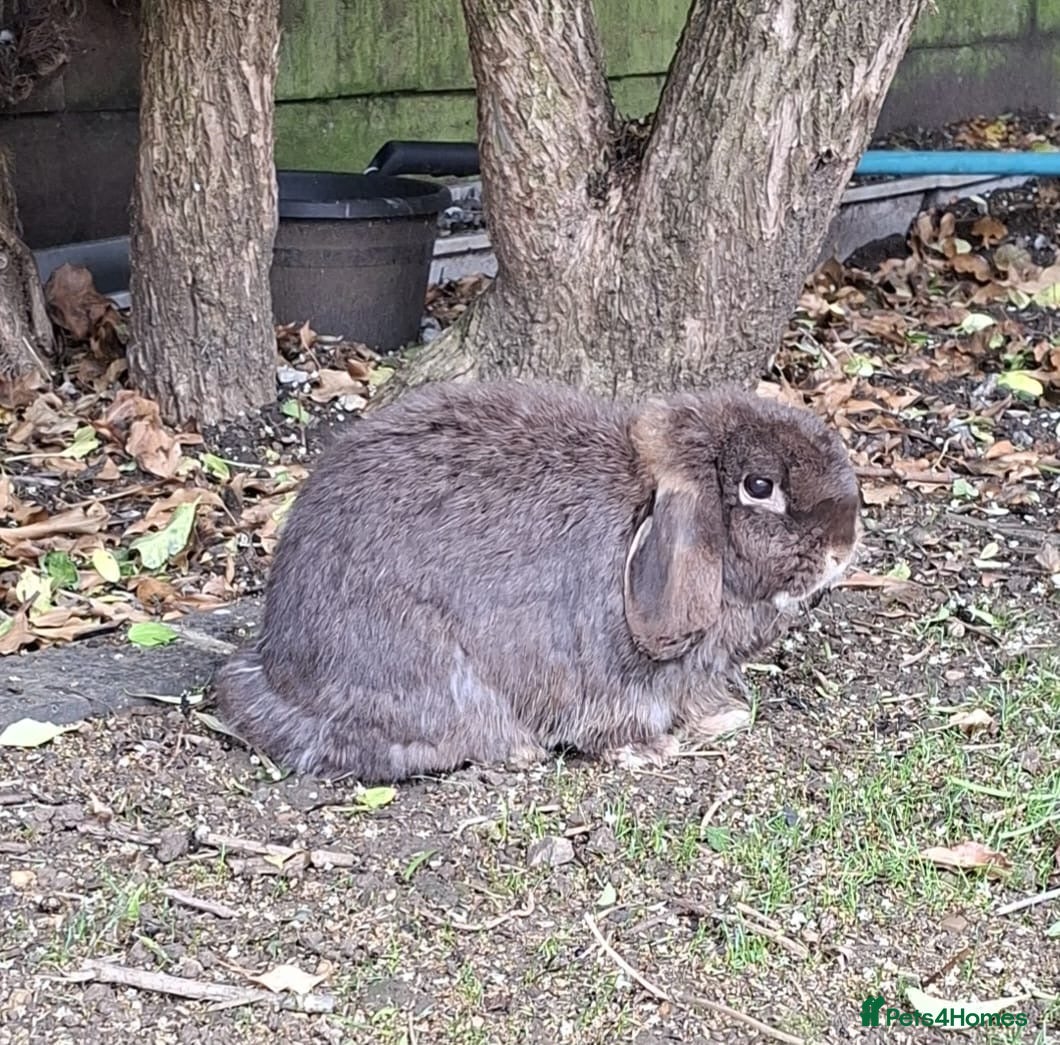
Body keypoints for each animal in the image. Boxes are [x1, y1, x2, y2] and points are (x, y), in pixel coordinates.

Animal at [212, 378, 861, 783]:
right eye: (759, 487)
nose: (843, 546)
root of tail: (272, 674)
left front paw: (720, 716)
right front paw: (651, 748)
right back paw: (516, 750)